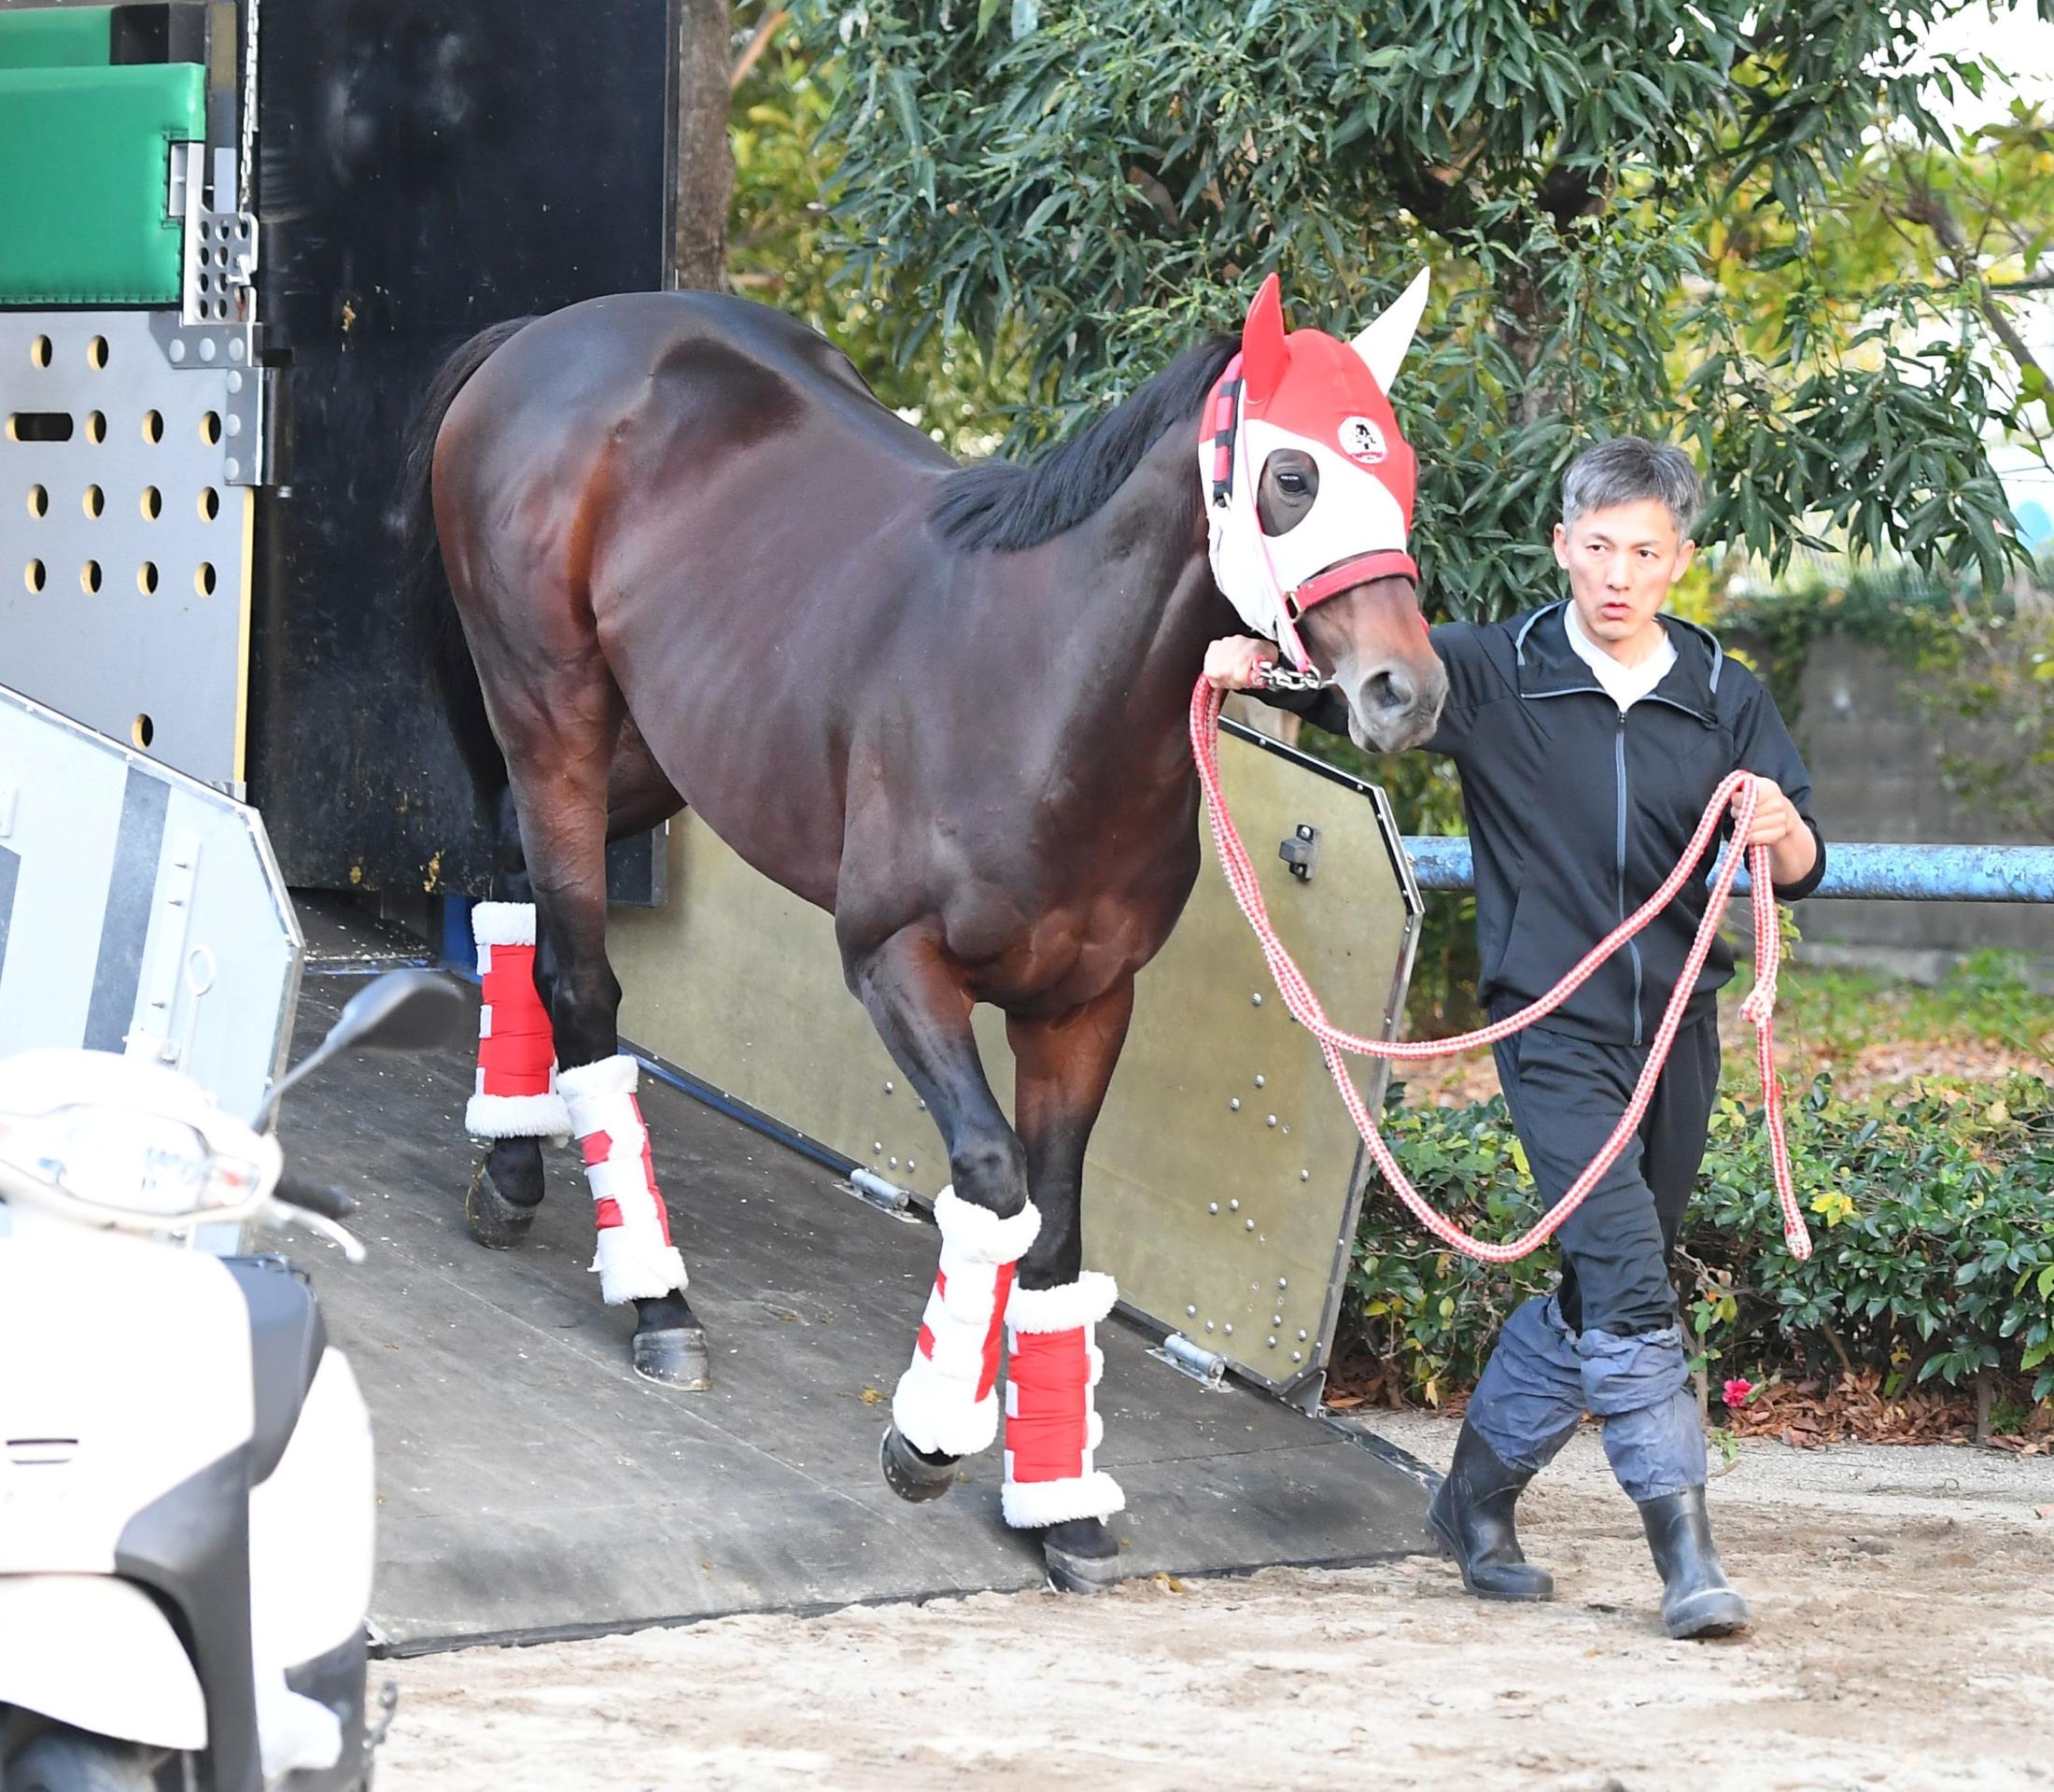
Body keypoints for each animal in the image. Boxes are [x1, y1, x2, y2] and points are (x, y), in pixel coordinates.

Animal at [396, 288, 1429, 1586]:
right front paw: (927, 1439)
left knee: (511, 888)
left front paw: (1060, 1506)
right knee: (581, 975)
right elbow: (993, 1183)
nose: (1408, 689)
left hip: (659, 750)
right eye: (1292, 474)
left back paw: (514, 1161)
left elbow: (1057, 1241)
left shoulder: (1084, 1008)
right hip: (555, 719)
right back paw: (655, 1300)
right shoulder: (896, 961)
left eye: (1398, 469)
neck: (1047, 699)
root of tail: (548, 333)